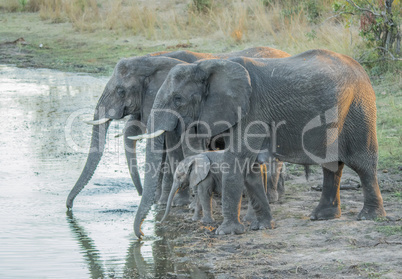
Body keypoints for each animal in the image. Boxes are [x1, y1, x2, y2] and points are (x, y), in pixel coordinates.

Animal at [67, 47, 290, 211]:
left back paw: (270, 197)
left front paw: (170, 203)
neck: (151, 60)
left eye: (121, 91)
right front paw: (162, 201)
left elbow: (173, 148)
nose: (69, 208)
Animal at [134, 48, 386, 238]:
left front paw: (226, 232)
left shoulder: (251, 111)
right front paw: (262, 227)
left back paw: (369, 217)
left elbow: (236, 160)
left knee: (362, 163)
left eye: (178, 99)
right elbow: (250, 168)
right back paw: (322, 216)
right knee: (331, 165)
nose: (143, 235)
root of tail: (362, 70)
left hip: (359, 108)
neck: (210, 66)